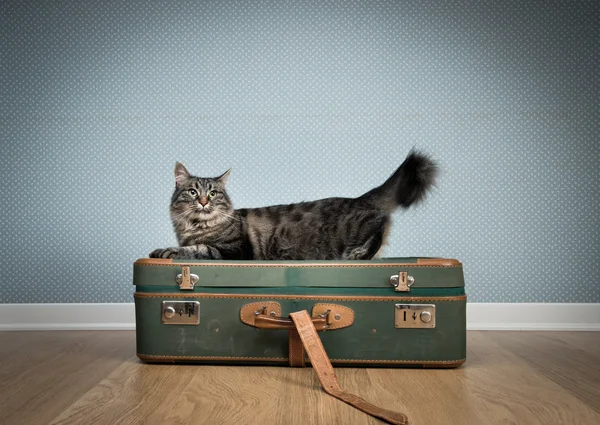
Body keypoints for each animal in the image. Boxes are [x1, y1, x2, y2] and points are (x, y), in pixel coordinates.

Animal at [149, 149, 440, 262]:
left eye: (213, 193)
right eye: (193, 191)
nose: (203, 201)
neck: (193, 227)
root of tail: (360, 198)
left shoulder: (232, 250)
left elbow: (197, 250)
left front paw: (164, 251)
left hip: (359, 228)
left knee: (379, 229)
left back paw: (356, 255)